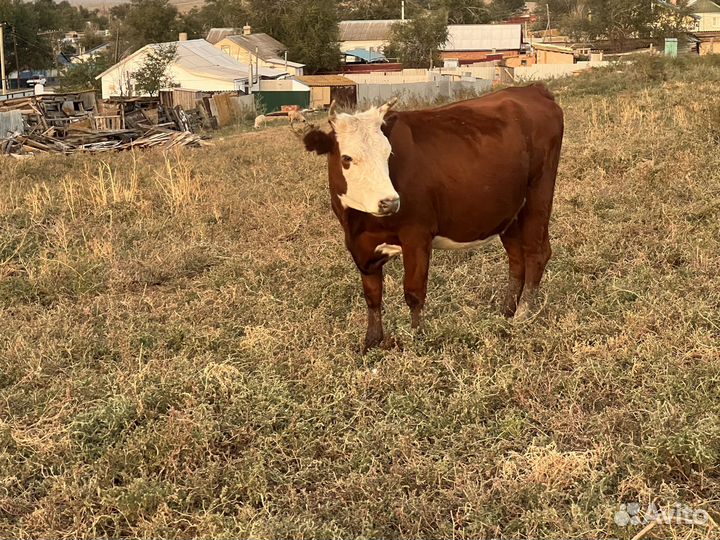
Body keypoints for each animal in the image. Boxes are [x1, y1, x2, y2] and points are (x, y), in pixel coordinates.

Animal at [295, 84, 564, 352]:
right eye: (347, 158)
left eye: (388, 154)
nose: (390, 201)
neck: (359, 223)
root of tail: (532, 89)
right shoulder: (360, 246)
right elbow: (372, 296)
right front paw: (372, 341)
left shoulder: (416, 235)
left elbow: (414, 292)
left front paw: (417, 338)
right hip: (509, 212)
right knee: (517, 260)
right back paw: (506, 311)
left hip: (539, 196)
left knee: (536, 253)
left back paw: (522, 314)